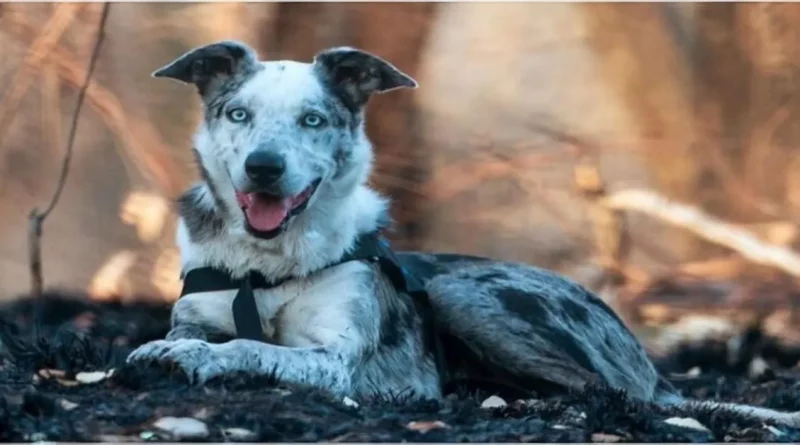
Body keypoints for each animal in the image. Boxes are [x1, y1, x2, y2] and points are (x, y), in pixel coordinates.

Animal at [128, 41, 800, 426]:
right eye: (237, 114)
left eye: (312, 120)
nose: (263, 167)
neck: (268, 264)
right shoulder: (201, 310)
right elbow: (208, 334)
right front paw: (178, 348)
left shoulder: (334, 361)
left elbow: (248, 347)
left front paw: (191, 357)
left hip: (463, 295)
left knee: (617, 395)